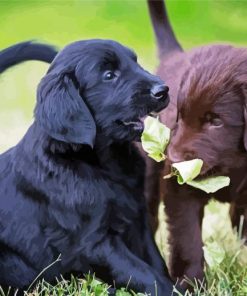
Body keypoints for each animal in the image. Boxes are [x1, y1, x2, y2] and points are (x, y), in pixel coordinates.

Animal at [0, 40, 175, 296]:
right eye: (109, 75)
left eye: (135, 62)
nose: (163, 90)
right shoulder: (92, 242)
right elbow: (147, 274)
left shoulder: (138, 220)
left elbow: (156, 263)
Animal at [146, 0, 247, 288]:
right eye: (180, 116)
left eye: (216, 122)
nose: (174, 159)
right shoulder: (180, 190)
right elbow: (186, 238)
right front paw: (188, 284)